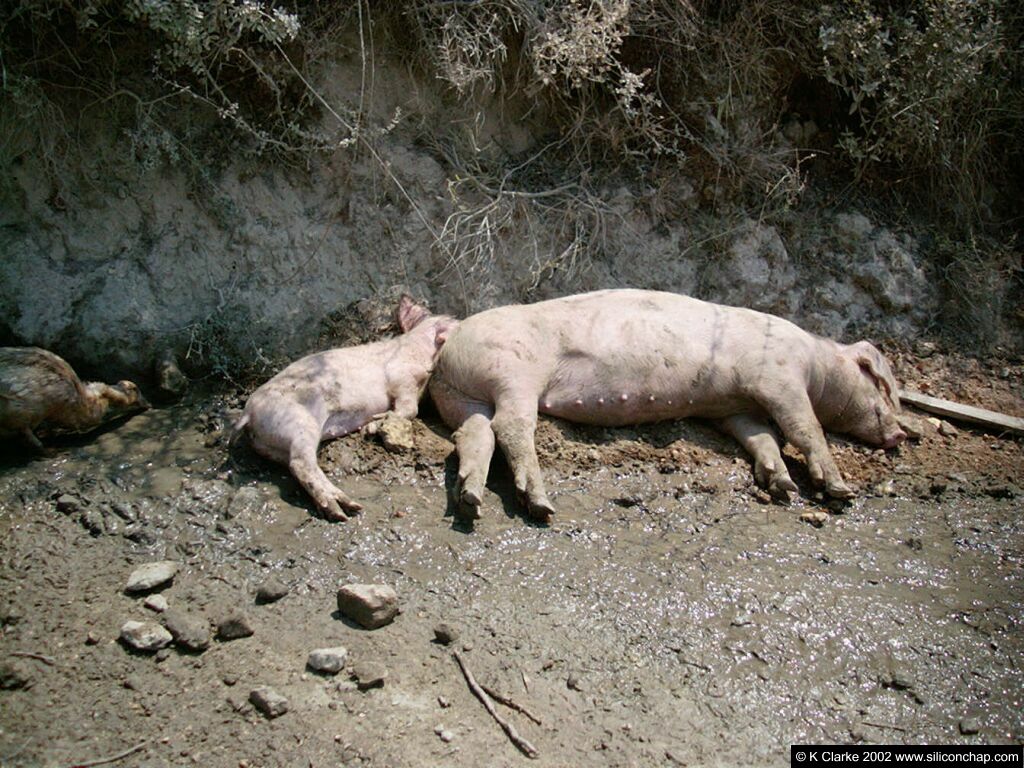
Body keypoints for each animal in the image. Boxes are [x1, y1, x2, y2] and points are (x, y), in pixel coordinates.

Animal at [231, 296, 457, 521]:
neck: (421, 346)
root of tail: (248, 413)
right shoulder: (401, 376)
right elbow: (409, 408)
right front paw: (372, 425)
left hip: (274, 444)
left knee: (295, 463)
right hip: (297, 422)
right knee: (301, 464)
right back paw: (345, 510)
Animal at [429, 289, 911, 522]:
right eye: (883, 387)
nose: (900, 435)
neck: (816, 363)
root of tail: (451, 344)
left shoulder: (733, 408)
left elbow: (761, 438)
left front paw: (783, 487)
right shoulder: (778, 377)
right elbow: (804, 428)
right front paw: (841, 491)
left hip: (464, 396)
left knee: (474, 433)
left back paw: (471, 501)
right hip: (514, 372)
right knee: (511, 426)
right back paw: (542, 507)